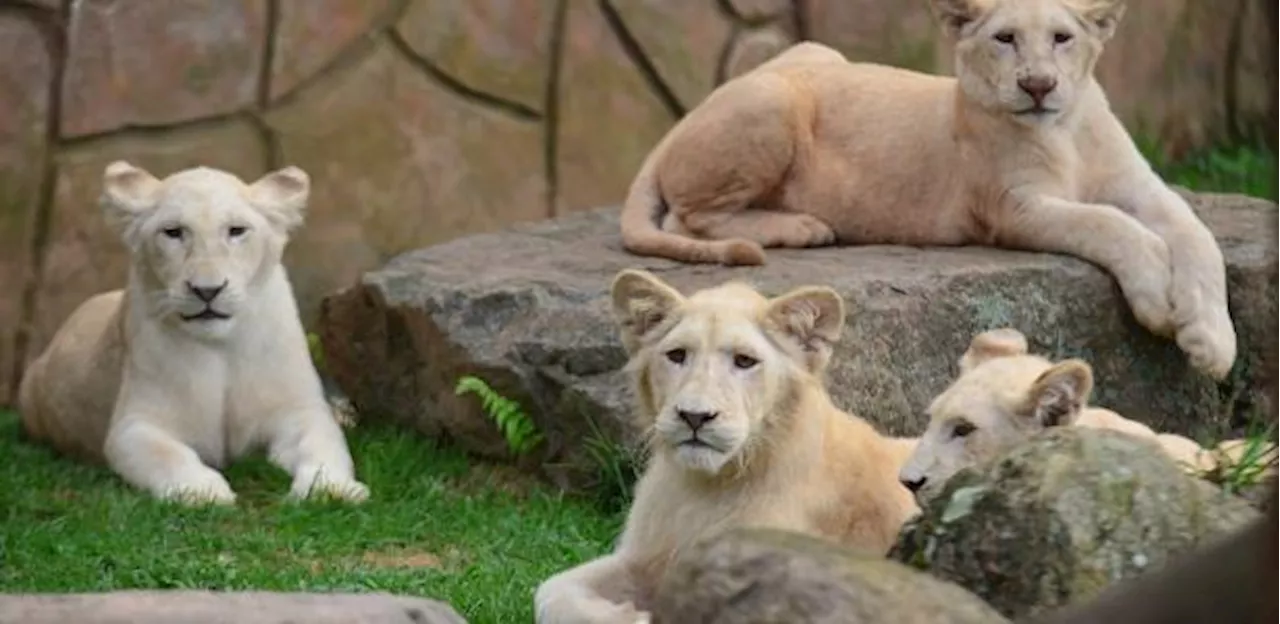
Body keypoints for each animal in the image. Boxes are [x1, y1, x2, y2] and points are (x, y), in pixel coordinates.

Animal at [20, 162, 371, 506]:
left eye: (236, 230)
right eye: (173, 232)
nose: (207, 290)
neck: (220, 348)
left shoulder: (298, 410)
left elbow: (323, 444)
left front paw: (331, 490)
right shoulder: (135, 423)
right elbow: (166, 454)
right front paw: (204, 491)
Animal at [532, 271, 921, 624]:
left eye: (745, 361)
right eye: (677, 355)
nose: (694, 416)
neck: (705, 488)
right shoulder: (644, 555)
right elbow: (550, 590)